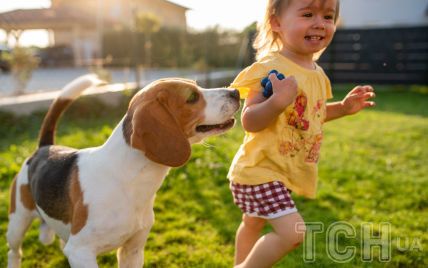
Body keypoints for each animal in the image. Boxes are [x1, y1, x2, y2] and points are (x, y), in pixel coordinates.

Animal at [6, 75, 239, 268]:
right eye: (192, 97)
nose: (235, 92)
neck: (128, 180)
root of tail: (45, 148)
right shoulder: (81, 252)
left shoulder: (132, 250)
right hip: (18, 222)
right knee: (14, 252)